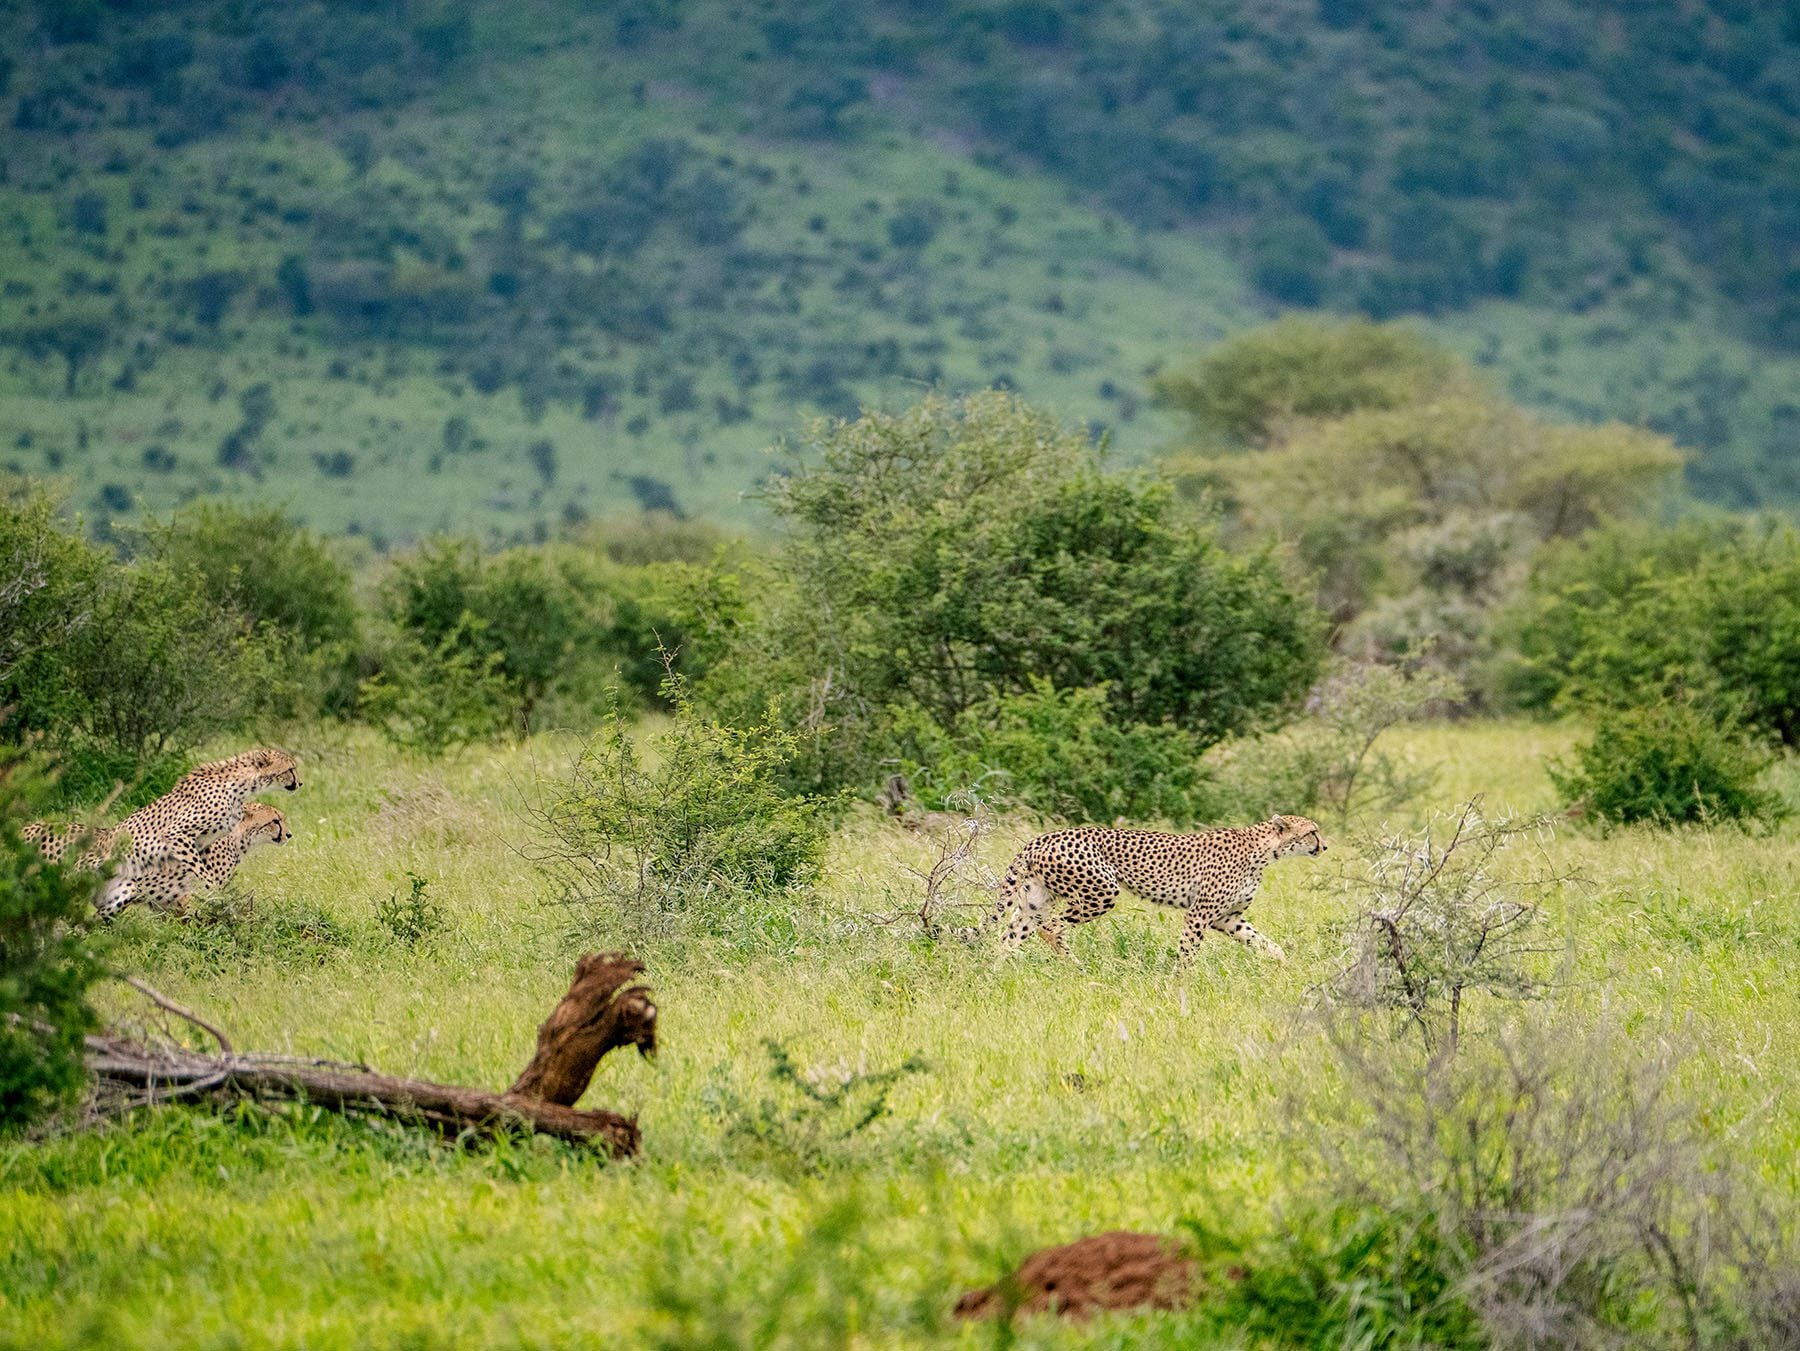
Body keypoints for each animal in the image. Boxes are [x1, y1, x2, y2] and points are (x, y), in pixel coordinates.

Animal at [964, 814, 1327, 966]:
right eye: (1312, 831)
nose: (1324, 846)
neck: (1264, 849)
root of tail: (1040, 837)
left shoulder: (1228, 918)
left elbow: (1262, 941)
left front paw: (1284, 965)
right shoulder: (1199, 914)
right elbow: (1188, 954)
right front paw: (1181, 986)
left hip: (1036, 900)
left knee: (1008, 937)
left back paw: (996, 973)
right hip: (1102, 890)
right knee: (1052, 928)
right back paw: (1075, 968)